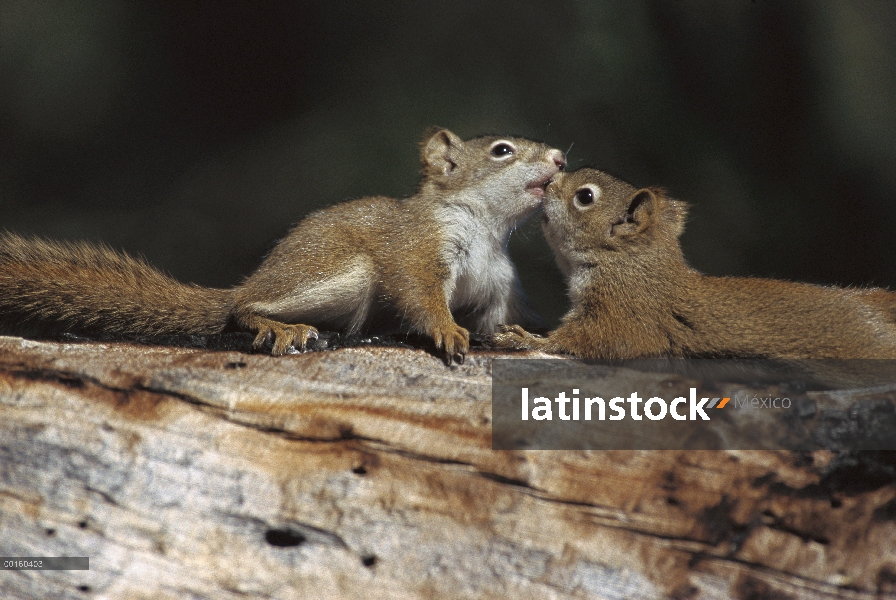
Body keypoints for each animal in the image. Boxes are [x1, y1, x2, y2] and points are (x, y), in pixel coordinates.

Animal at [0, 129, 564, 364]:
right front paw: (448, 331)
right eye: (502, 150)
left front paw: (523, 338)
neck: (487, 228)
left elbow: (502, 321)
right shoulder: (419, 249)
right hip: (340, 272)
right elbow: (419, 295)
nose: (560, 159)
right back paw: (276, 326)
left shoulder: (499, 288)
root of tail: (254, 277)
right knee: (243, 309)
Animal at [494, 166, 896, 358]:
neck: (631, 264)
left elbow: (596, 340)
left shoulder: (625, 309)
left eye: (585, 197)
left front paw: (526, 339)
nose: (549, 182)